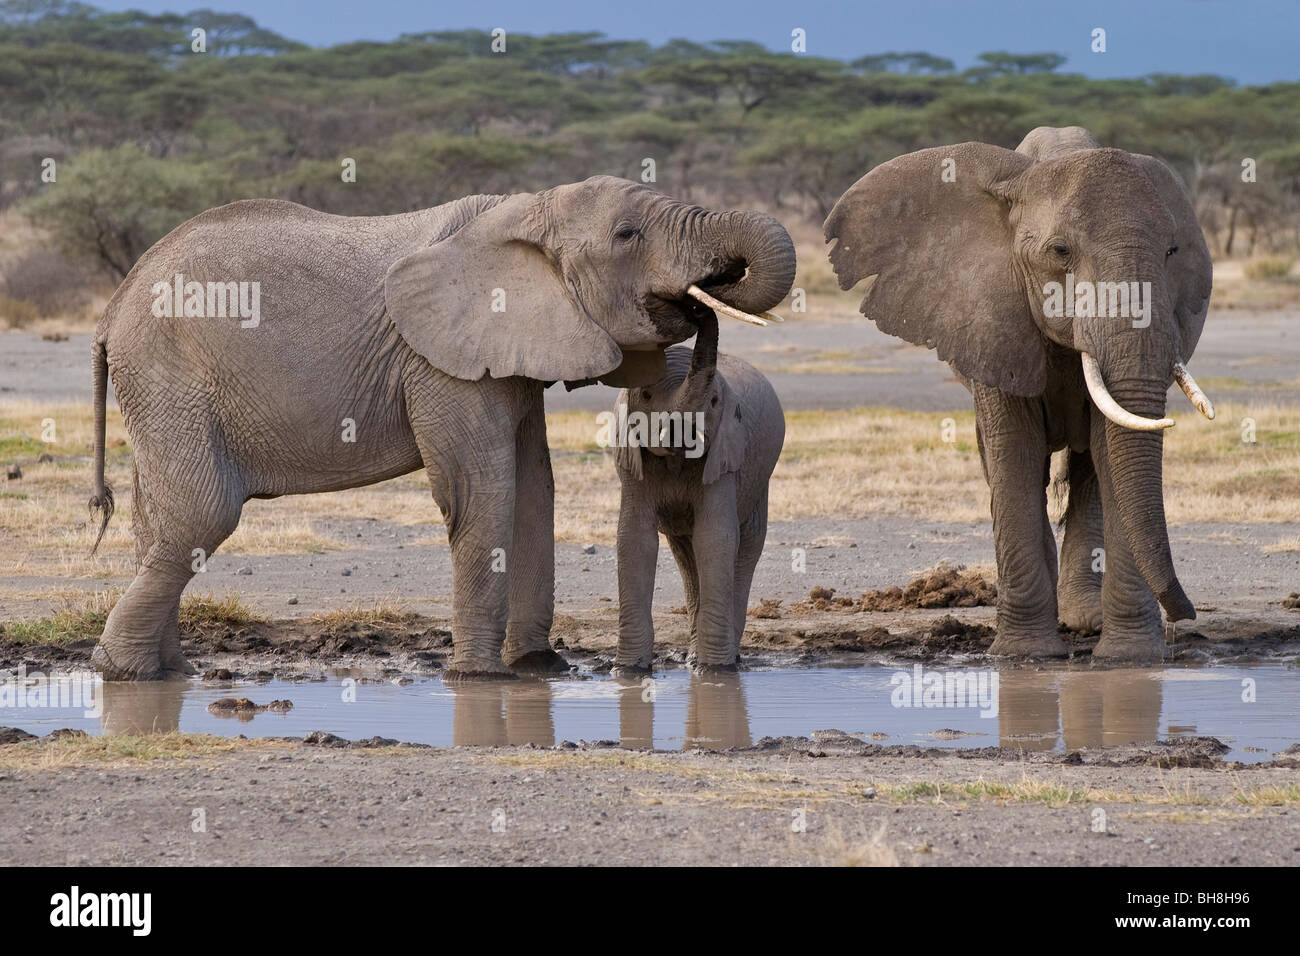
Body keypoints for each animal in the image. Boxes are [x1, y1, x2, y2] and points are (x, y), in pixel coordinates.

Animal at [611, 316, 780, 671]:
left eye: (714, 403)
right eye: (646, 395)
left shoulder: (724, 457)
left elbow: (714, 538)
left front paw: (714, 670)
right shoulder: (631, 462)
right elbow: (635, 538)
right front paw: (627, 670)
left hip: (760, 483)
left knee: (746, 548)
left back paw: (721, 658)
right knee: (686, 556)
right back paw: (691, 657)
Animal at [826, 127, 1211, 660]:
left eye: (1173, 252)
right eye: (1060, 251)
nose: (1185, 614)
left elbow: (1112, 453)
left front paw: (1131, 659)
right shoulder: (988, 317)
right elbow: (1015, 452)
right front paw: (1026, 655)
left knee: (1090, 468)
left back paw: (1084, 619)